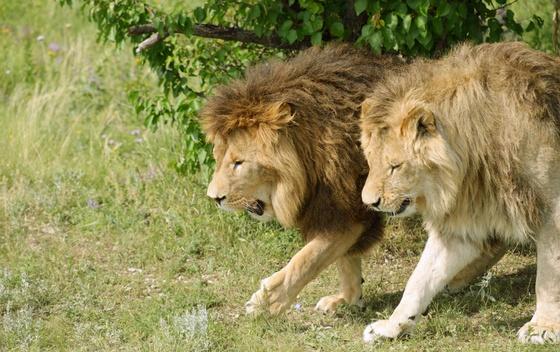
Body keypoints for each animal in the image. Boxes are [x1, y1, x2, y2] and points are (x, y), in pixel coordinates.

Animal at [200, 44, 402, 316]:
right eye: (218, 158)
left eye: (239, 163)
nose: (214, 198)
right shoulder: (337, 208)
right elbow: (345, 262)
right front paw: (348, 298)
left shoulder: (351, 212)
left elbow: (306, 260)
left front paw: (266, 302)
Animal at [358, 42, 560, 344]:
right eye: (371, 162)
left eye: (395, 166)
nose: (369, 202)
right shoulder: (459, 229)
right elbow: (419, 280)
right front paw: (392, 326)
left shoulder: (552, 210)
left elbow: (548, 276)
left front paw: (543, 327)